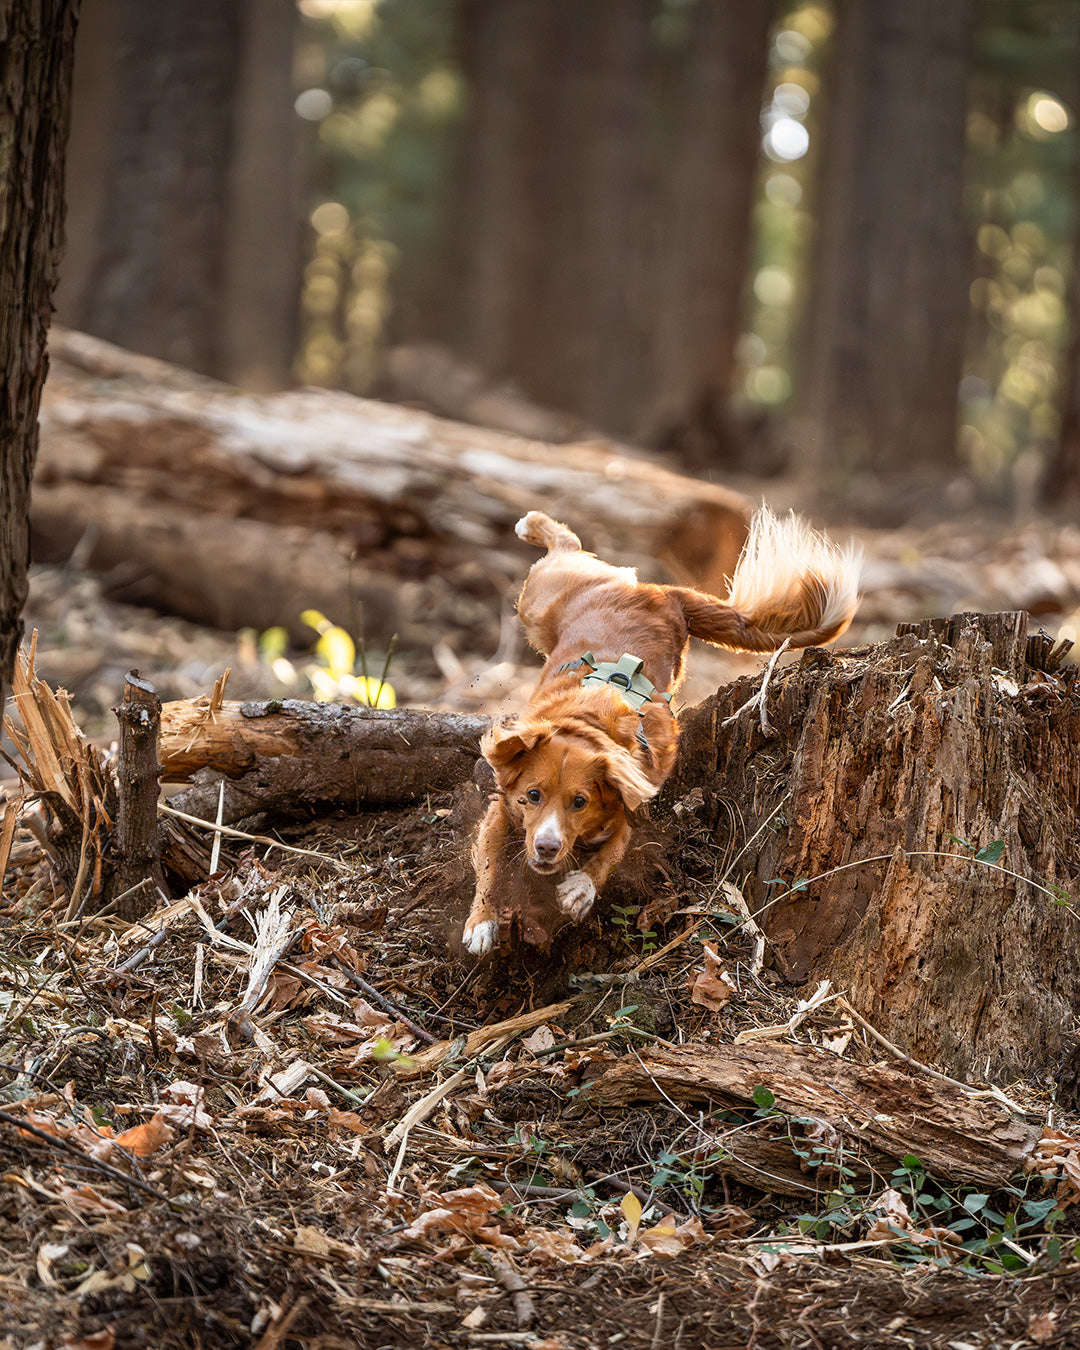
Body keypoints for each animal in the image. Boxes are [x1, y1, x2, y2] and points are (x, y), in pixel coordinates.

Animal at [464, 507, 858, 961]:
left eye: (579, 802)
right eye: (532, 795)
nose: (545, 847)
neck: (587, 725)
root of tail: (664, 593)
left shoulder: (629, 802)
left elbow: (612, 851)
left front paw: (581, 889)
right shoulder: (502, 811)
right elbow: (490, 866)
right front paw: (481, 922)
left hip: (545, 599)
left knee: (570, 549)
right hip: (540, 602)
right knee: (567, 550)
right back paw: (533, 525)